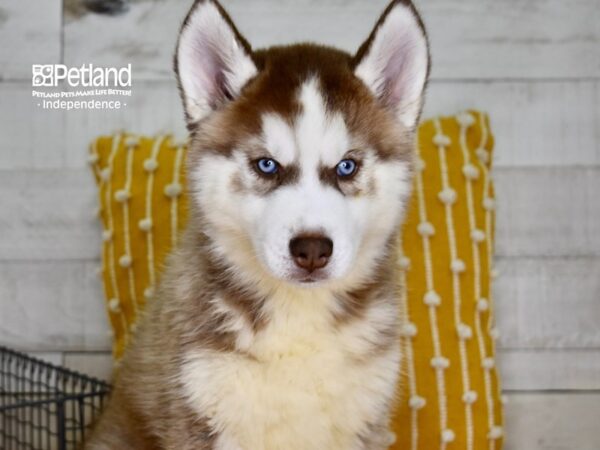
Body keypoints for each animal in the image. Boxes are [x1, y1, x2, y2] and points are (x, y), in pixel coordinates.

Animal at [86, 0, 428, 450]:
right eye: (267, 165)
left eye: (347, 167)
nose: (312, 250)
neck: (298, 317)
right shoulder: (197, 405)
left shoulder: (365, 417)